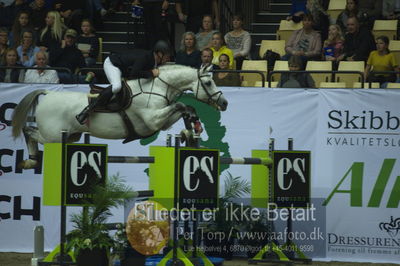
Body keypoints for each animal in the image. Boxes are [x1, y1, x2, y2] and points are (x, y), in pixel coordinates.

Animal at [11, 64, 228, 168]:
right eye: (208, 83)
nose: (224, 103)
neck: (158, 87)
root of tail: (48, 93)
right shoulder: (152, 120)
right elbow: (181, 105)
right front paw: (191, 130)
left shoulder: (161, 123)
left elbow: (185, 108)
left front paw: (191, 131)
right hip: (53, 137)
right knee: (29, 131)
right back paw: (31, 161)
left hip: (71, 136)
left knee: (30, 131)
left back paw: (30, 161)